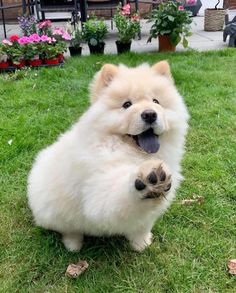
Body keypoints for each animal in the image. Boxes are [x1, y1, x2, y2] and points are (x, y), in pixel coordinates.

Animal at [27, 60, 189, 251]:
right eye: (127, 105)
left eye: (156, 101)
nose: (149, 114)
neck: (134, 153)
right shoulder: (97, 190)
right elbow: (120, 195)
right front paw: (149, 178)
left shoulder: (148, 212)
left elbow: (142, 223)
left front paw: (141, 244)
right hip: (54, 212)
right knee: (68, 228)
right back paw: (73, 244)